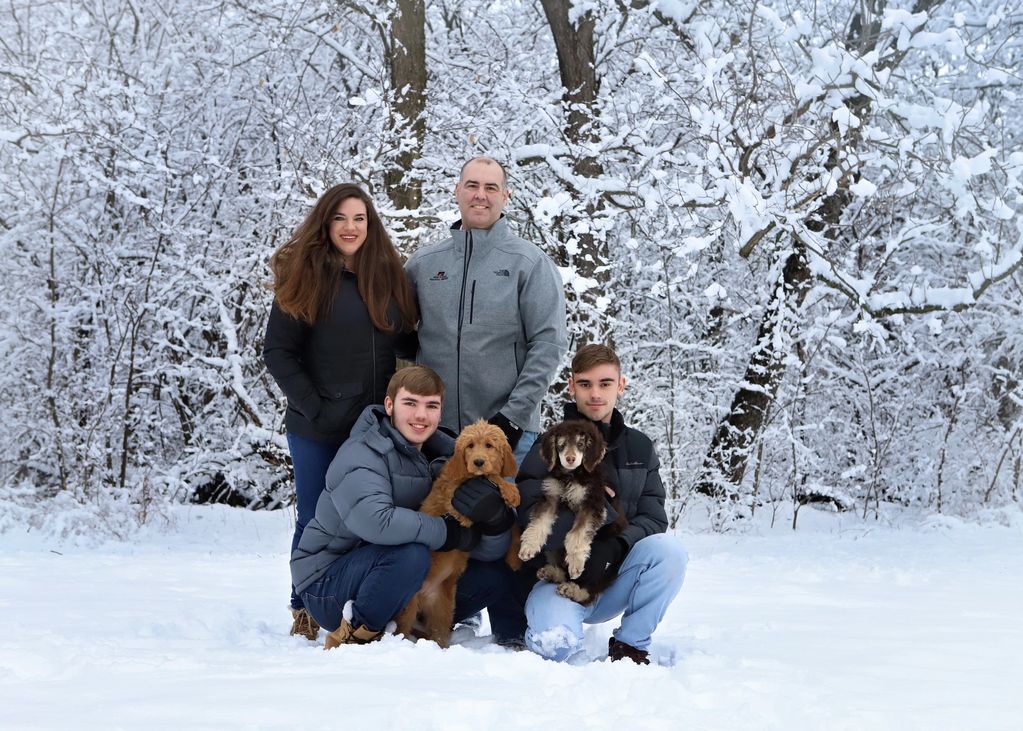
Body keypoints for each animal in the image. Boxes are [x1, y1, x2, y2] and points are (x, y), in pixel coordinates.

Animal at [390, 421, 519, 650]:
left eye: (489, 445)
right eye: (470, 446)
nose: (478, 462)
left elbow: (510, 524)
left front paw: (515, 557)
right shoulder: (454, 494)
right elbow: (490, 477)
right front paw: (510, 489)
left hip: (443, 610)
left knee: (439, 634)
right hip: (407, 608)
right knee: (402, 630)